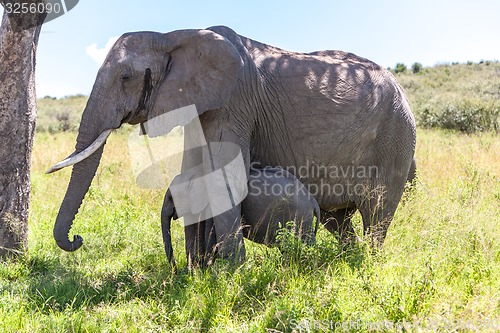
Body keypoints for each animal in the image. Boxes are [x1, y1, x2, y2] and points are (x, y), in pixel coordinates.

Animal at [162, 166, 322, 268]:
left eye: (170, 198)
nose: (176, 270)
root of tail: (314, 202)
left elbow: (212, 236)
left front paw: (207, 268)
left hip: (301, 216)